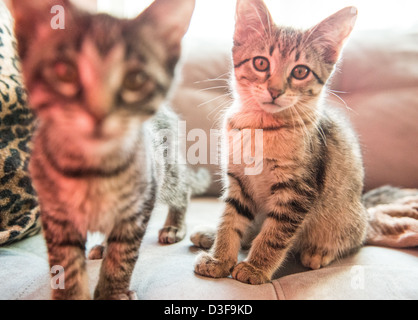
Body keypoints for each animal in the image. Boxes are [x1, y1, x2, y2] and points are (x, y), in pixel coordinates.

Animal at [12, 0, 207, 300]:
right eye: (65, 72)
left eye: (135, 79)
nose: (99, 112)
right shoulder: (56, 215)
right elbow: (65, 265)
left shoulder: (139, 206)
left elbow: (122, 255)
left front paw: (113, 291)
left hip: (167, 170)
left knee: (182, 189)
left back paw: (173, 225)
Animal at [194, 0, 368, 284]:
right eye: (261, 63)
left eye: (300, 71)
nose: (275, 91)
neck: (260, 125)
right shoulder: (239, 181)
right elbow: (230, 220)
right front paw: (220, 258)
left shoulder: (297, 190)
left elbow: (274, 234)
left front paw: (255, 267)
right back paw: (210, 234)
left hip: (347, 216)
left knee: (356, 236)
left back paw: (319, 251)